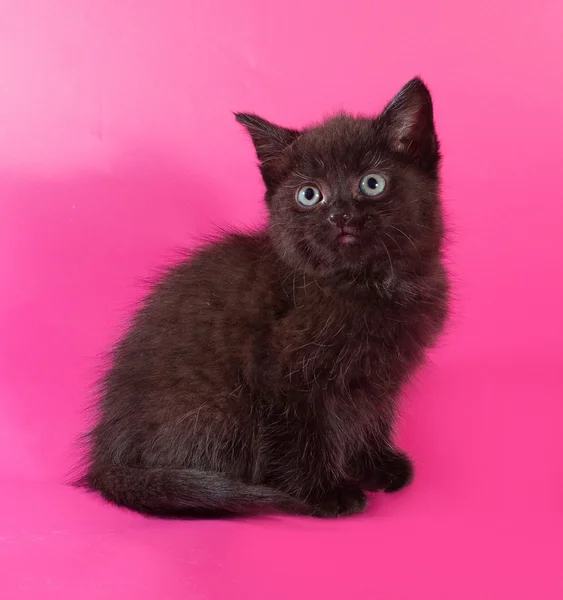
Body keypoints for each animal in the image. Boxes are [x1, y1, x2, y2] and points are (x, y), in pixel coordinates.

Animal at [80, 77, 450, 516]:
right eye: (309, 195)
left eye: (372, 183)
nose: (339, 215)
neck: (366, 283)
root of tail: (105, 458)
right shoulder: (284, 375)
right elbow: (302, 432)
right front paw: (322, 492)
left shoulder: (379, 375)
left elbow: (371, 416)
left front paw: (374, 466)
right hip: (220, 409)